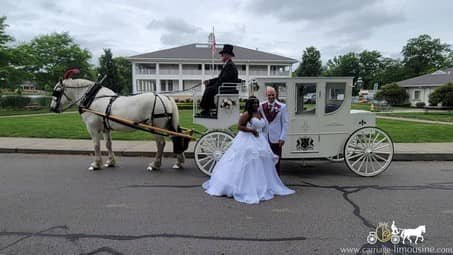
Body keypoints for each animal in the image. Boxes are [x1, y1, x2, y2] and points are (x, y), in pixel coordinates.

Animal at [51, 70, 187, 171]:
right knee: (175, 138)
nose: (52, 108)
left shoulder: (92, 128)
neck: (92, 98)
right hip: (167, 125)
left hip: (156, 126)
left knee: (160, 144)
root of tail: (165, 97)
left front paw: (96, 164)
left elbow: (96, 145)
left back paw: (155, 164)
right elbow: (108, 144)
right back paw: (179, 162)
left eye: (57, 91)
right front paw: (110, 162)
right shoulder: (105, 129)